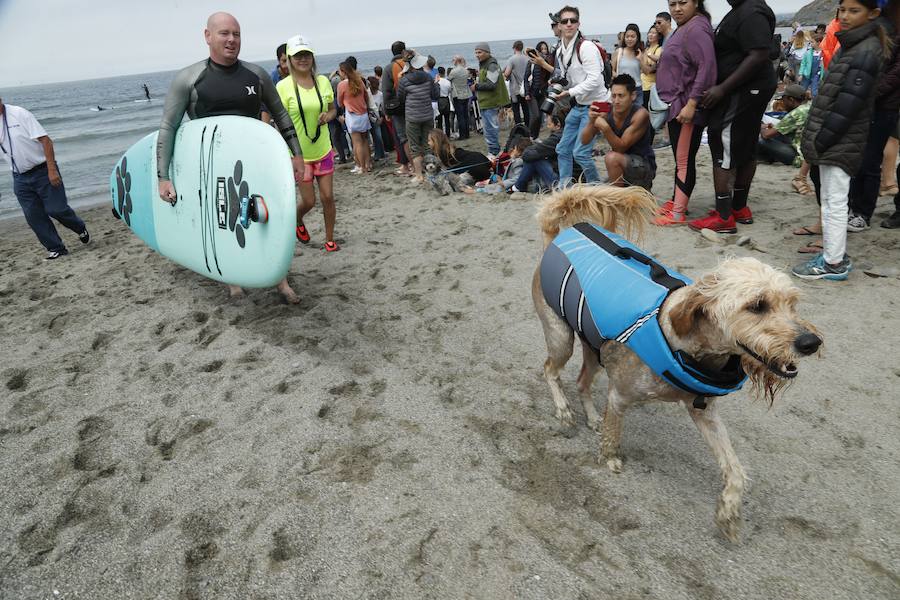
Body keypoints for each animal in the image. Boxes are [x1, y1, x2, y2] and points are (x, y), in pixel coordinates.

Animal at [536, 185, 824, 540]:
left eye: (792, 303)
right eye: (757, 305)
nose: (810, 343)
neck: (685, 347)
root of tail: (557, 238)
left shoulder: (705, 412)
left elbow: (735, 468)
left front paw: (729, 512)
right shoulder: (619, 397)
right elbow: (613, 433)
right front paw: (609, 458)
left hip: (593, 347)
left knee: (581, 382)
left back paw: (590, 416)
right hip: (561, 339)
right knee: (550, 370)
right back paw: (563, 410)